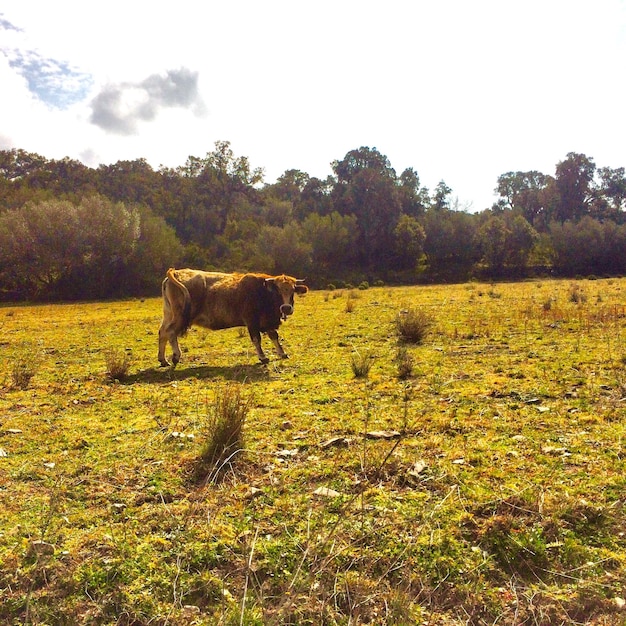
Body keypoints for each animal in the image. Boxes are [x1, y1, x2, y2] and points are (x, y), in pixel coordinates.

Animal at [156, 266, 308, 366]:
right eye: (277, 290)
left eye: (293, 290)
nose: (286, 308)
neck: (262, 291)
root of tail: (176, 272)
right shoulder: (252, 321)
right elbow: (256, 339)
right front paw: (263, 357)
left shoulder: (266, 322)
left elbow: (274, 336)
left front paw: (282, 353)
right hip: (179, 317)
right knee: (170, 332)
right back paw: (176, 356)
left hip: (169, 315)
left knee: (163, 332)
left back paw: (163, 360)